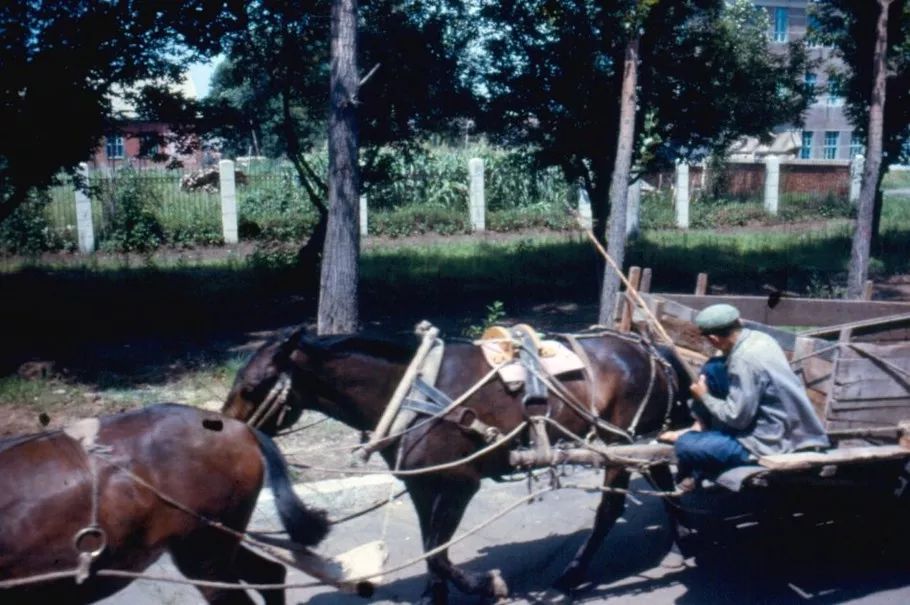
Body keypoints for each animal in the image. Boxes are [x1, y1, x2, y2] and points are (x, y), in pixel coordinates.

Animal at [224, 328, 696, 600]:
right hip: (644, 439)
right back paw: (681, 542)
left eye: (251, 385)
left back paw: (575, 572)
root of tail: (651, 350)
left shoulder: (459, 483)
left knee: (610, 508)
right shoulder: (422, 484)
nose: (223, 430)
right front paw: (435, 597)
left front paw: (488, 585)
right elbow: (432, 550)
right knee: (663, 476)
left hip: (619, 443)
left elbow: (440, 557)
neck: (413, 392)